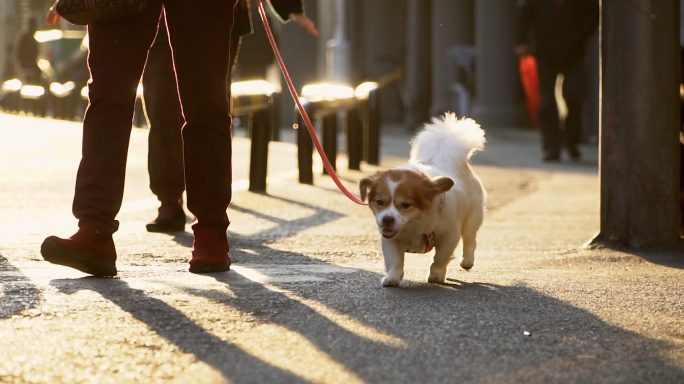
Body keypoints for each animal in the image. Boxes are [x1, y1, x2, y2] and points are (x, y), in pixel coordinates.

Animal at [358, 112, 486, 286]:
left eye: (406, 204)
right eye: (379, 202)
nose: (387, 219)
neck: (415, 225)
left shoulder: (449, 236)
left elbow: (440, 258)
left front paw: (437, 274)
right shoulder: (390, 239)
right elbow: (394, 261)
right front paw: (392, 278)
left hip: (472, 218)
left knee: (470, 240)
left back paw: (467, 260)